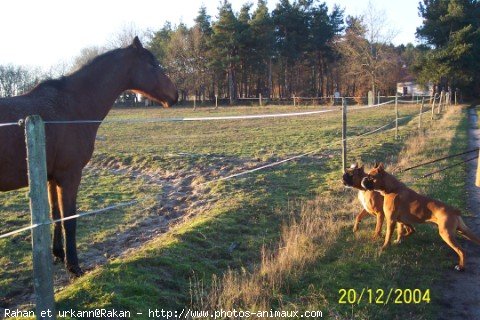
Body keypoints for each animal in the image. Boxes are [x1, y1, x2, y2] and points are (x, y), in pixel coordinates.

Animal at [0, 37, 178, 276]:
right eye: (153, 64)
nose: (175, 94)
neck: (70, 107)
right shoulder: (69, 176)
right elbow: (69, 220)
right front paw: (74, 266)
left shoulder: (51, 177)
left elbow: (56, 215)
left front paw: (59, 254)